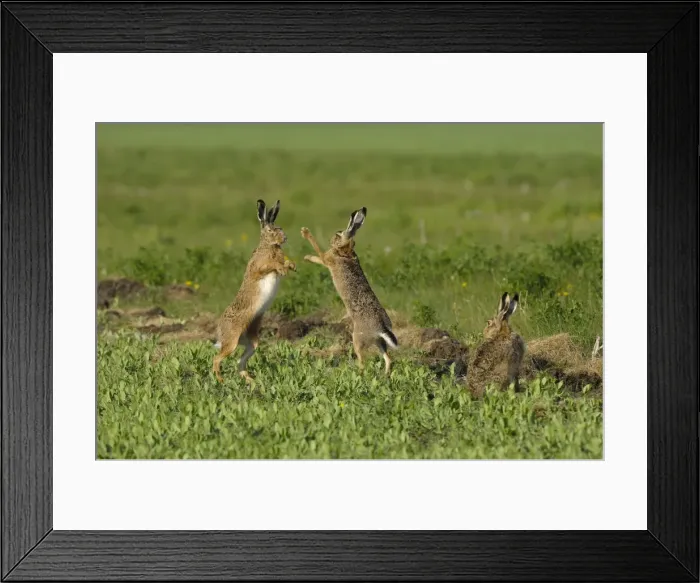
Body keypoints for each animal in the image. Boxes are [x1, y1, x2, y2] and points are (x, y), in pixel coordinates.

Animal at [213, 199, 296, 384]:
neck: (269, 246)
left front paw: (292, 266)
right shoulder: (258, 268)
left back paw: (252, 382)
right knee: (217, 359)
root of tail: (219, 332)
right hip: (232, 341)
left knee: (239, 363)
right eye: (271, 230)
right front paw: (282, 267)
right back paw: (222, 381)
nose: (285, 238)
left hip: (252, 343)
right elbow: (271, 265)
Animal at [300, 207, 398, 375]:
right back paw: (385, 376)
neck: (346, 250)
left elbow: (318, 252)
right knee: (388, 359)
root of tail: (381, 329)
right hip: (379, 342)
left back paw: (357, 372)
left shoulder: (327, 259)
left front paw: (305, 238)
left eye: (338, 234)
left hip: (357, 338)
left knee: (362, 361)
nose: (331, 239)